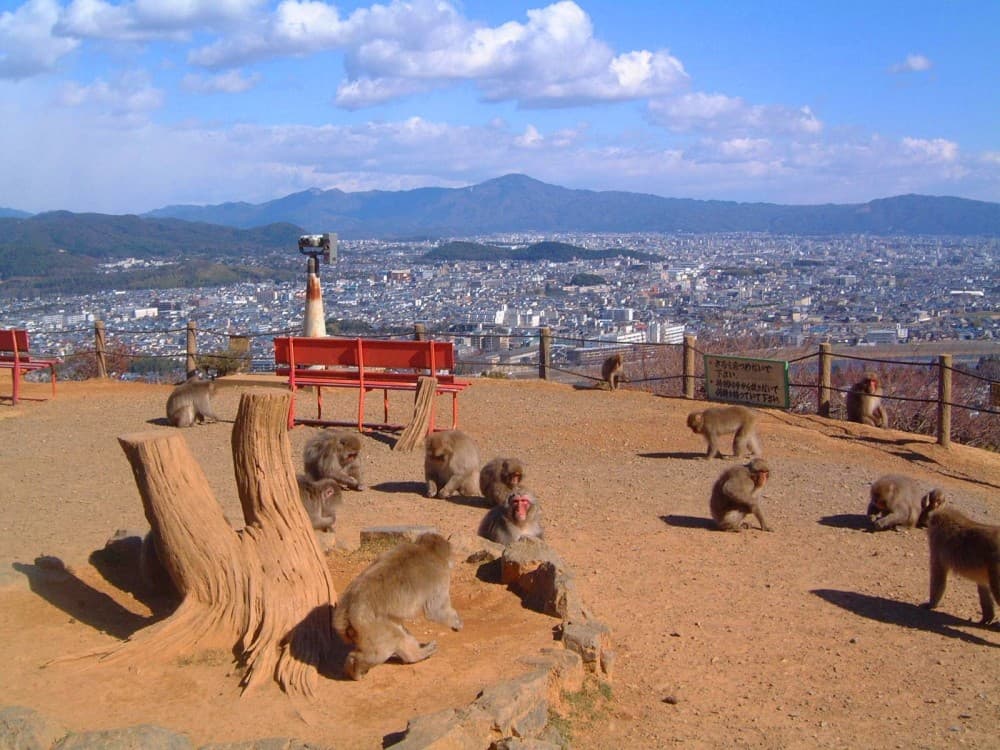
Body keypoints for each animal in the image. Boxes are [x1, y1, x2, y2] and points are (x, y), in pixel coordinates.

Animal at [333, 532, 462, 679]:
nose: (453, 562)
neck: (427, 549)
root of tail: (346, 611)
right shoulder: (440, 575)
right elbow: (436, 611)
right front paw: (456, 622)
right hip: (370, 624)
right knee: (382, 649)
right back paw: (356, 669)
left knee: (398, 634)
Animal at [917, 490, 1000, 626]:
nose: (919, 522)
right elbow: (983, 586)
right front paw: (987, 618)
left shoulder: (937, 542)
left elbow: (938, 574)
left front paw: (931, 604)